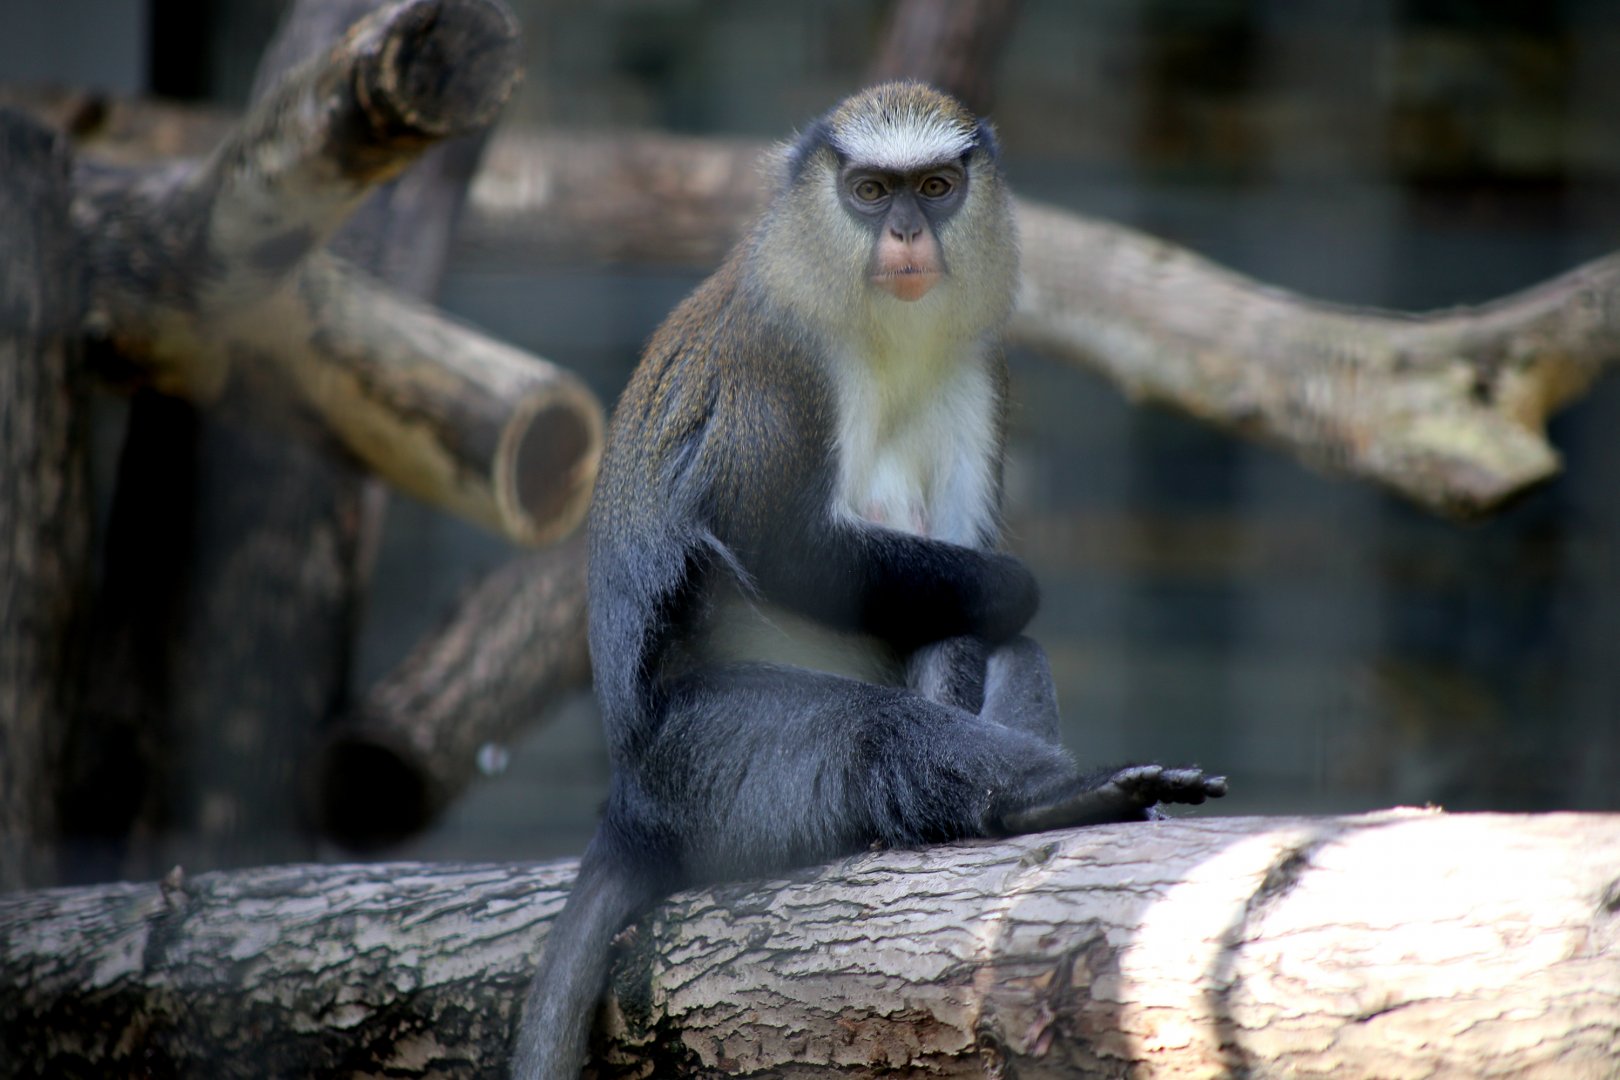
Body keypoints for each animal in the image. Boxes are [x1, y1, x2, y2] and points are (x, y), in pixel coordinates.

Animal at [511, 82, 1225, 1078]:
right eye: (869, 191)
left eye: (936, 186)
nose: (907, 234)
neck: (886, 335)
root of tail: (629, 802)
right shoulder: (779, 361)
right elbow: (783, 545)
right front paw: (1014, 585)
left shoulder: (980, 369)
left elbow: (957, 610)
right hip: (707, 763)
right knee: (869, 735)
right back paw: (1033, 802)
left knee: (1009, 659)